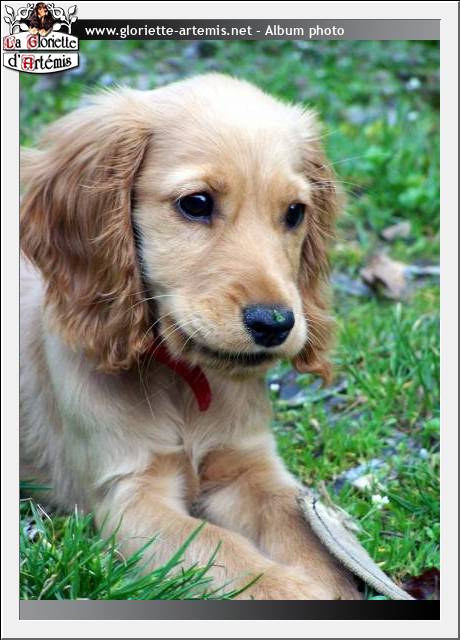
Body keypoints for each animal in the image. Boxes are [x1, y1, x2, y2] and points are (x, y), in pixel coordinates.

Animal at [20, 74, 361, 600]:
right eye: (196, 204)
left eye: (294, 212)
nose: (274, 323)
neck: (185, 380)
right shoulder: (129, 496)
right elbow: (226, 552)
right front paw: (295, 591)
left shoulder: (250, 467)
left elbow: (310, 538)